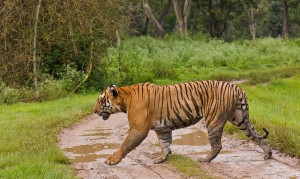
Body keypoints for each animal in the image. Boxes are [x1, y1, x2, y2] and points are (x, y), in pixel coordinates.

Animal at [93, 81, 272, 165]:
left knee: (217, 145)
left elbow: (124, 145)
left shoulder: (138, 129)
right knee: (257, 136)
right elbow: (164, 144)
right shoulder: (162, 128)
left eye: (101, 100)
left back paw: (205, 159)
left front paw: (111, 160)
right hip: (239, 118)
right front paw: (162, 158)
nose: (94, 111)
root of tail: (236, 87)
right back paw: (268, 154)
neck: (124, 98)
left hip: (213, 120)